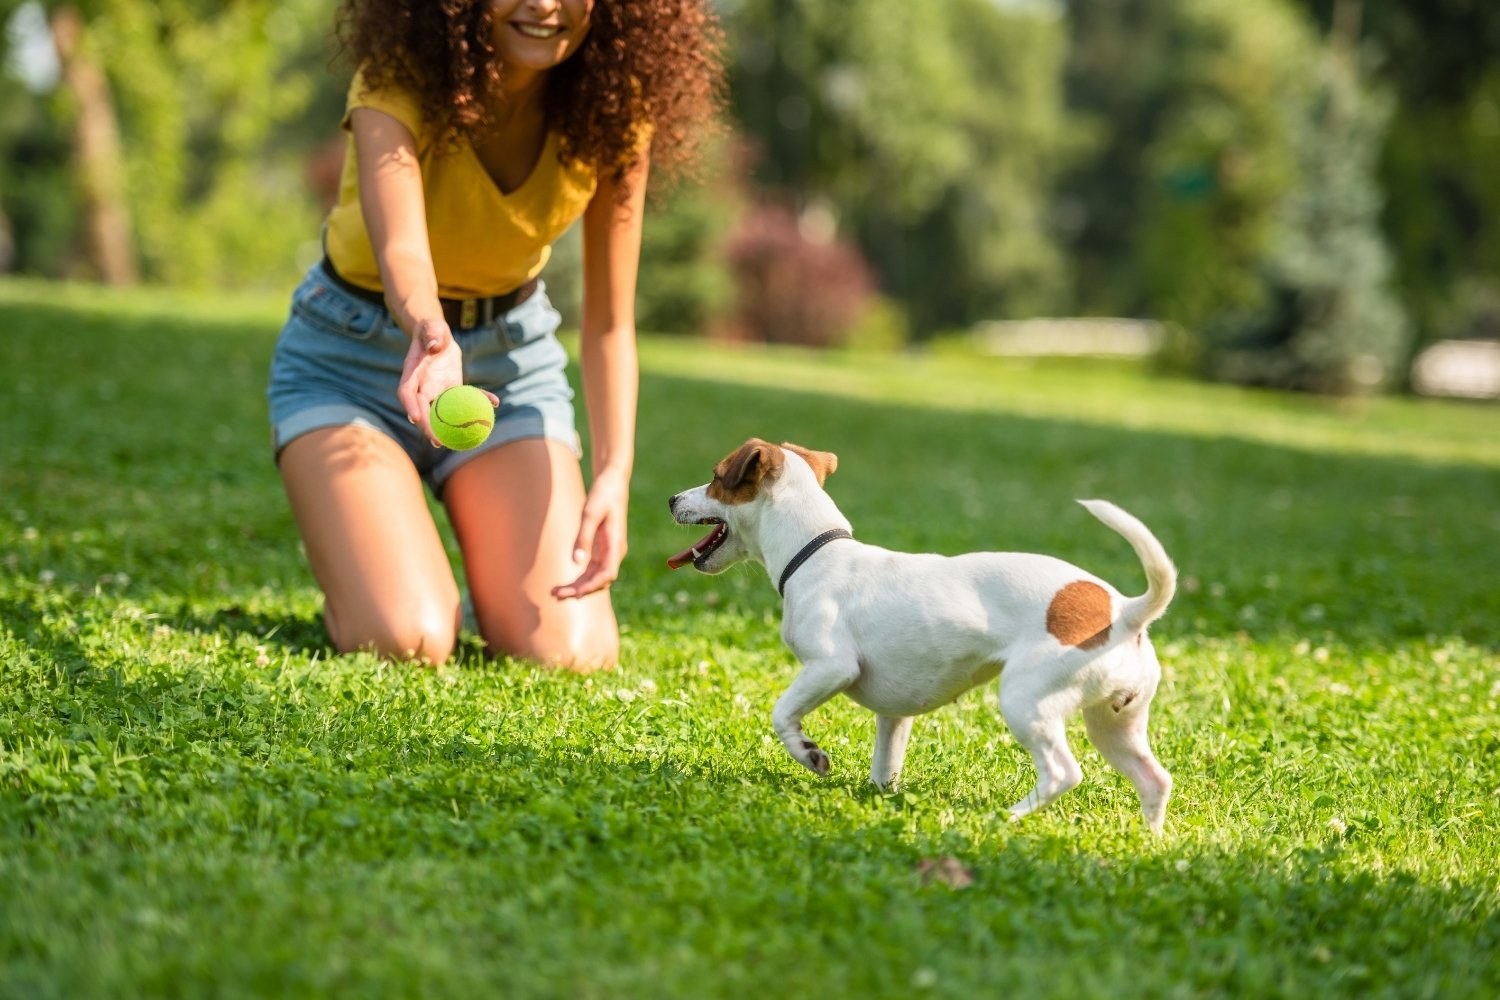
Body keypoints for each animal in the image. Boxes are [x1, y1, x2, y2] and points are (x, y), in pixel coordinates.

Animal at [672, 440, 1182, 833]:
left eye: (716, 478)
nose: (673, 498)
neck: (814, 552)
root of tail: (1124, 611)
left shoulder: (831, 667)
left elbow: (782, 713)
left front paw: (808, 754)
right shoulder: (894, 716)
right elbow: (886, 765)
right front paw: (881, 798)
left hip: (1027, 700)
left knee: (1062, 772)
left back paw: (1007, 817)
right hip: (1115, 724)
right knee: (1155, 779)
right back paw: (1150, 842)